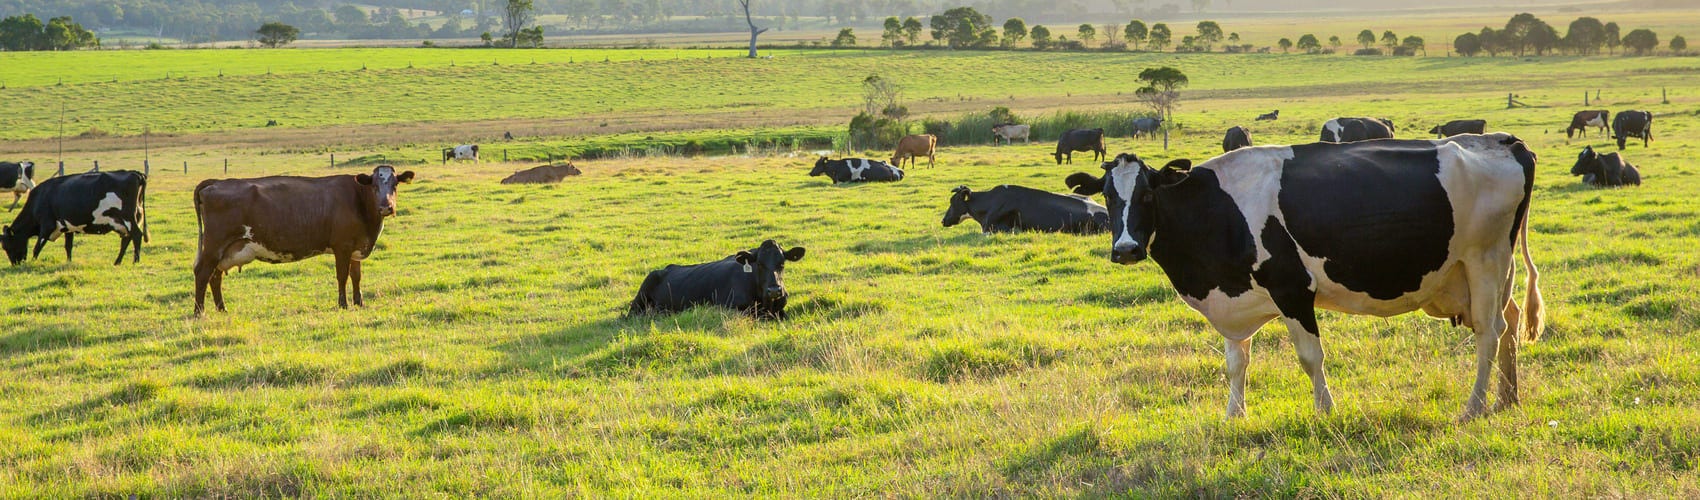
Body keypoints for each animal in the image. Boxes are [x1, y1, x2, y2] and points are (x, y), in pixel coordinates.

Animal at [2, 170, 147, 267]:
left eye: (7, 246)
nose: (15, 264)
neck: (39, 199)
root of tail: (135, 173)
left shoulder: (47, 225)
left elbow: (37, 247)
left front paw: (32, 262)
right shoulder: (67, 227)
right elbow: (68, 246)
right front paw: (68, 262)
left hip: (128, 218)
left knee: (136, 235)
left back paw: (136, 261)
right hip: (124, 221)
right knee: (127, 239)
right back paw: (117, 262)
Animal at [192, 164, 414, 314]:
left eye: (395, 184)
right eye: (375, 185)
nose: (386, 207)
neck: (359, 199)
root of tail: (217, 182)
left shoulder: (355, 248)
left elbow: (356, 276)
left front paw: (359, 302)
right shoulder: (342, 247)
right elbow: (342, 276)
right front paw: (343, 304)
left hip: (225, 250)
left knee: (215, 276)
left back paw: (222, 309)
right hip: (214, 246)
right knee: (202, 273)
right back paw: (199, 312)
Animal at [1067, 133, 1550, 421]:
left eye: (1148, 194)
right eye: (1108, 197)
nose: (1125, 249)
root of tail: (1500, 140)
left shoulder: (1292, 289)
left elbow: (1310, 357)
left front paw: (1325, 410)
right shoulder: (1236, 300)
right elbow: (1235, 362)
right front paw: (1234, 417)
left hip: (1485, 259)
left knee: (1489, 332)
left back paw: (1474, 407)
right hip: (1487, 270)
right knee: (1508, 324)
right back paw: (1508, 399)